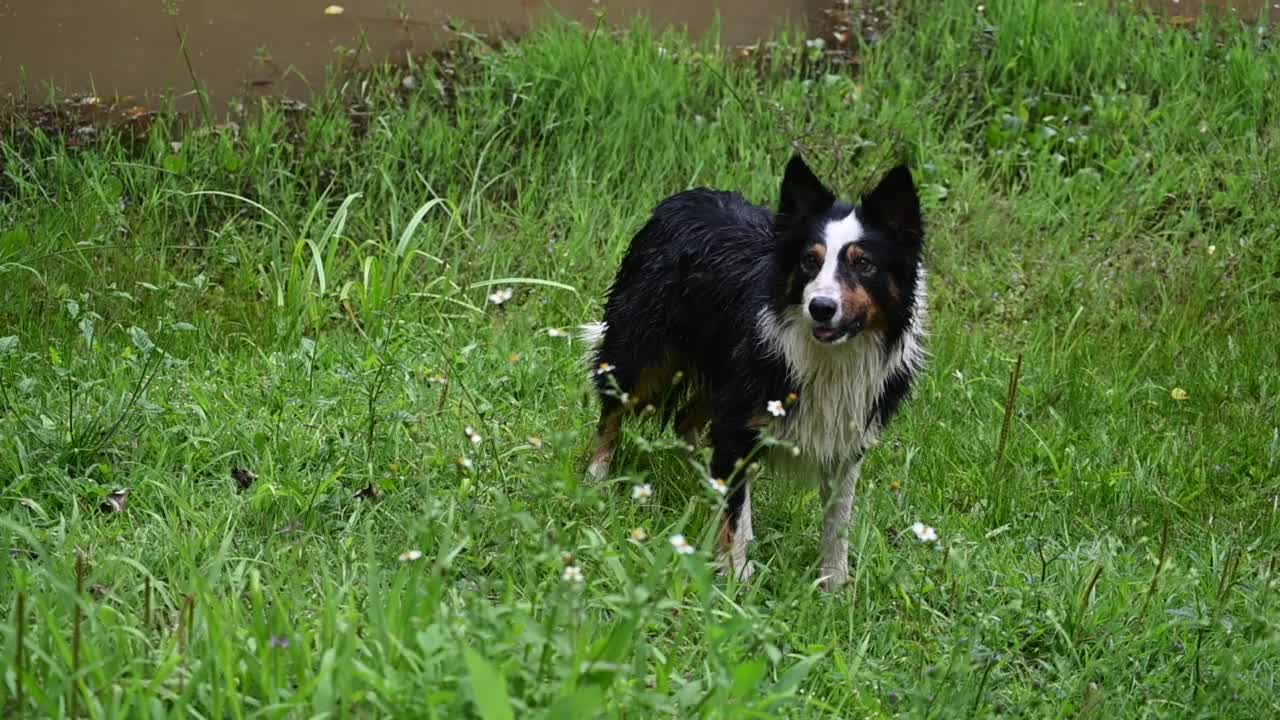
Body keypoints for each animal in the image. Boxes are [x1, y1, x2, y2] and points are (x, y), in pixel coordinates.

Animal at [586, 154, 926, 586]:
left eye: (863, 264)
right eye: (809, 261)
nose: (820, 308)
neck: (828, 357)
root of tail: (685, 197)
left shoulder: (847, 436)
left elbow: (837, 523)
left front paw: (835, 587)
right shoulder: (739, 421)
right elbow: (736, 518)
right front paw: (738, 577)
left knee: (686, 423)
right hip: (643, 350)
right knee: (613, 408)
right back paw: (596, 477)